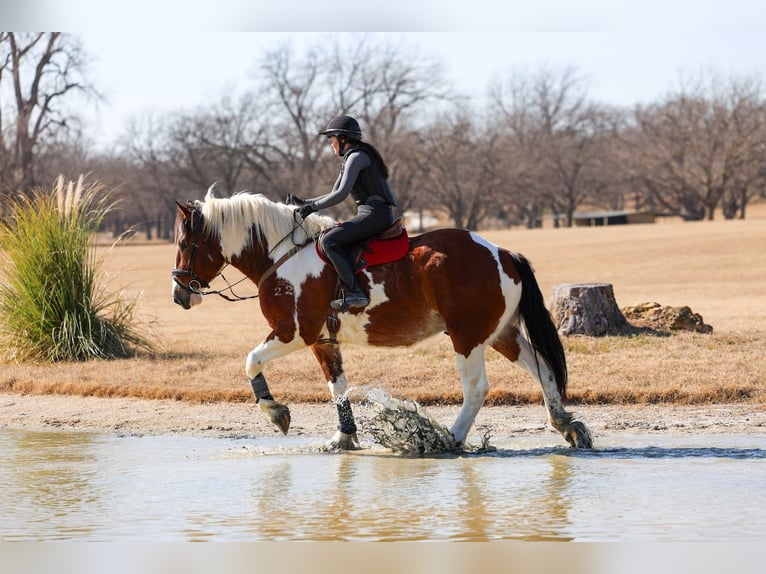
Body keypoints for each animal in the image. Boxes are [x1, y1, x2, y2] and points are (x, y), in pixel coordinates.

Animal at [171, 188, 593, 450]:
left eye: (184, 244)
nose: (179, 295)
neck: (282, 255)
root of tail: (503, 253)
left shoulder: (294, 333)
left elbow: (251, 361)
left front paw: (277, 413)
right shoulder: (323, 342)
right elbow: (338, 389)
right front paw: (343, 438)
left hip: (467, 336)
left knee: (476, 388)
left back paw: (448, 439)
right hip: (501, 333)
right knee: (543, 370)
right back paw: (565, 424)